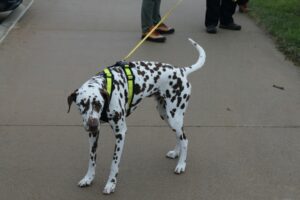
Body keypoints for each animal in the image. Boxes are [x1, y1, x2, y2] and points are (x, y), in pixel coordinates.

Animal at [67, 38, 205, 195]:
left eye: (98, 104)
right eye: (82, 104)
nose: (92, 125)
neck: (108, 85)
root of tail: (181, 71)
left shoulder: (120, 133)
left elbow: (114, 163)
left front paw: (111, 184)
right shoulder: (93, 134)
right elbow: (92, 159)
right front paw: (88, 178)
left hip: (174, 116)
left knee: (185, 140)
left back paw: (181, 164)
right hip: (167, 115)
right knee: (179, 136)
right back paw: (176, 153)